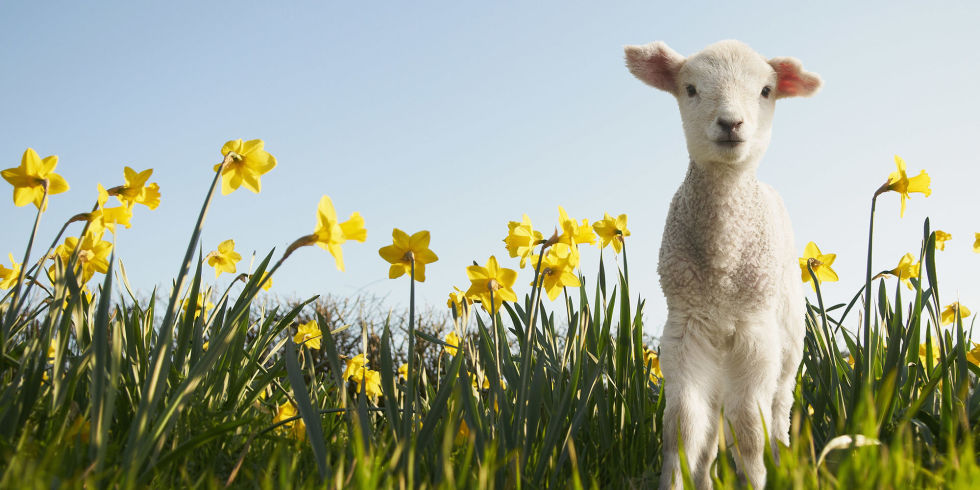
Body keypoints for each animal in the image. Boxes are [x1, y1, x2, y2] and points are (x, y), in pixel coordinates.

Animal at [623, 40, 821, 489]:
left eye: (766, 90)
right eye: (691, 89)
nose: (731, 124)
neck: (722, 271)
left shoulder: (755, 332)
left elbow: (749, 424)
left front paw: (755, 478)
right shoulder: (686, 329)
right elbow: (683, 425)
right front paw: (676, 481)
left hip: (789, 343)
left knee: (777, 411)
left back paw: (780, 461)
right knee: (713, 422)